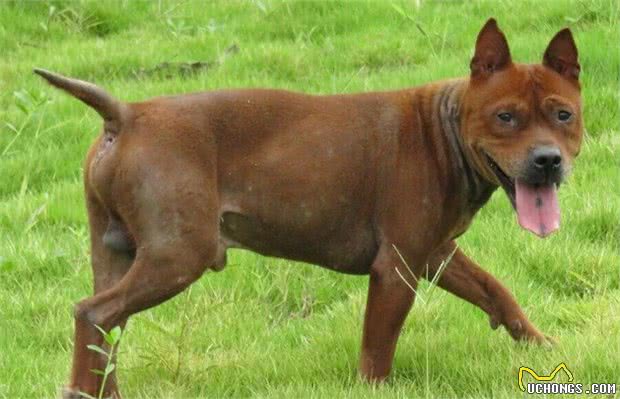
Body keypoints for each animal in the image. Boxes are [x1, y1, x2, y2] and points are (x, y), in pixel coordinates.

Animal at [35, 19, 580, 399]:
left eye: (563, 114)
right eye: (505, 117)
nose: (547, 161)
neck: (444, 129)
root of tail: (126, 115)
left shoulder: (435, 253)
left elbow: (496, 290)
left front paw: (539, 345)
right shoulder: (397, 268)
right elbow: (377, 350)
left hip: (118, 254)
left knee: (107, 328)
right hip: (178, 256)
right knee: (92, 313)